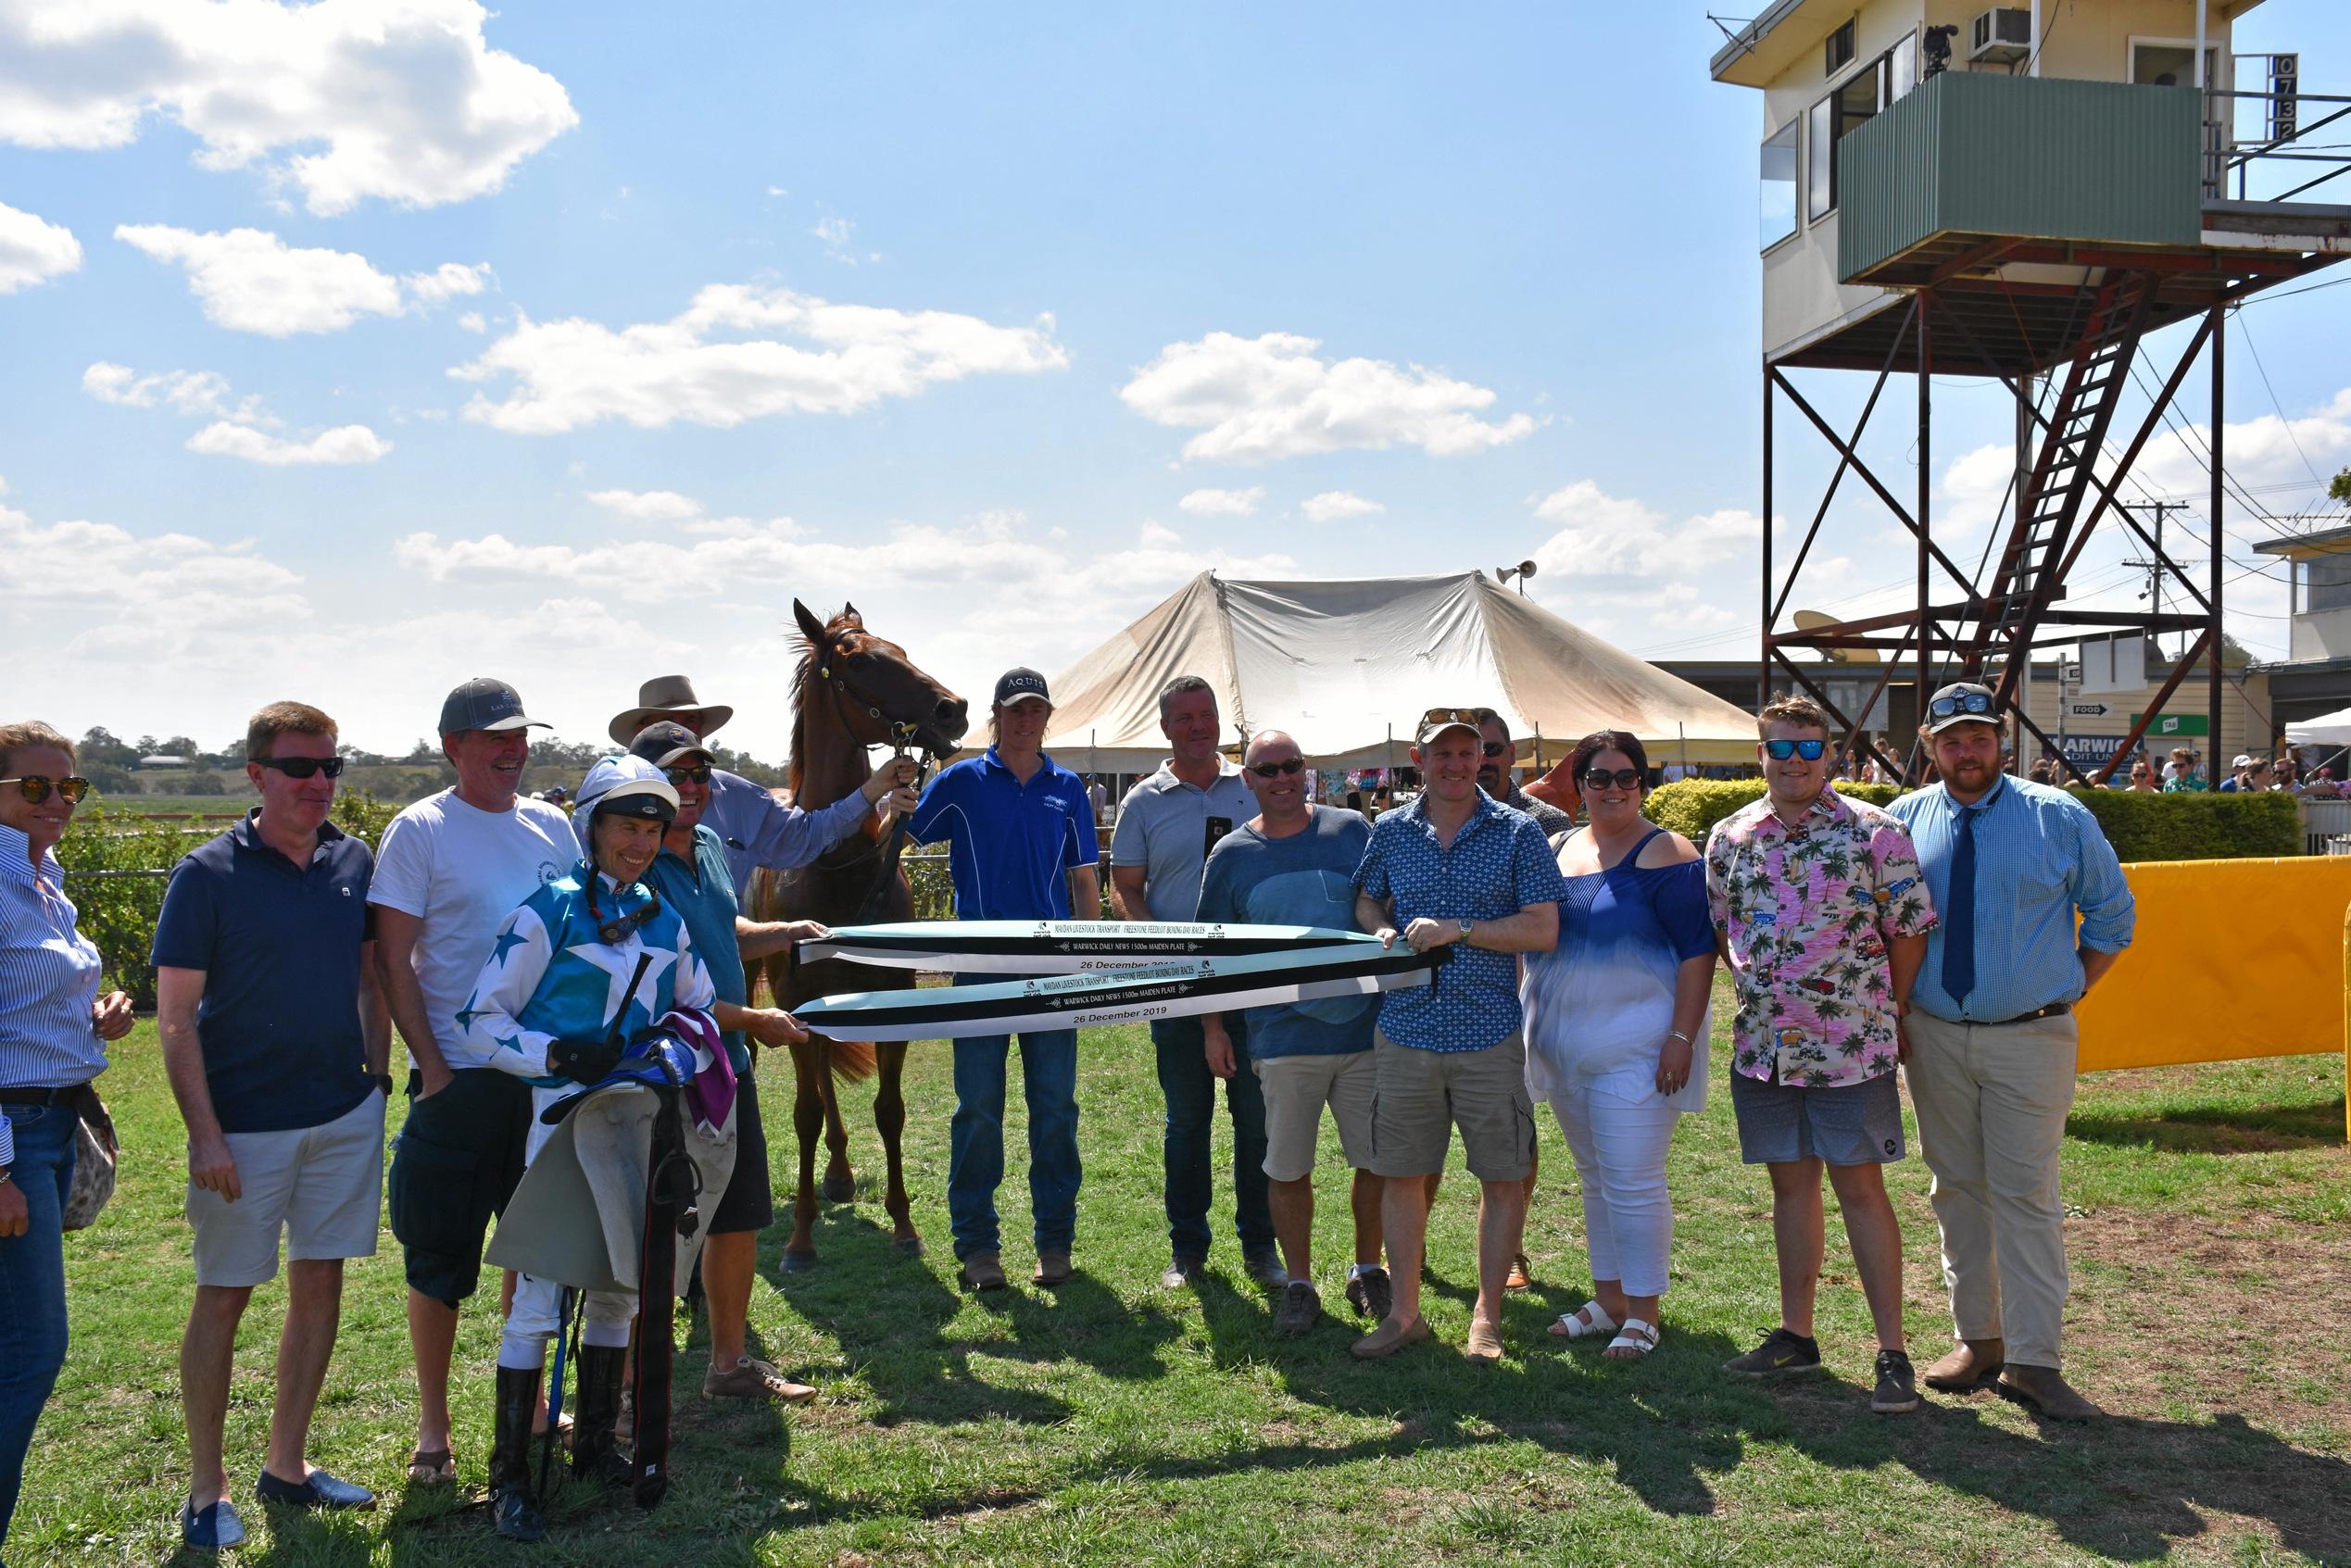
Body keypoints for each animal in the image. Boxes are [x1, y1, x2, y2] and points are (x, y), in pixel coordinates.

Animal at [752, 601, 973, 1278]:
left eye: (900, 649)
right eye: (859, 661)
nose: (952, 708)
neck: (836, 860)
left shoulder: (888, 995)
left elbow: (889, 1110)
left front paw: (904, 1226)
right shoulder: (794, 1003)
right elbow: (803, 1115)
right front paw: (800, 1241)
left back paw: (843, 1172)